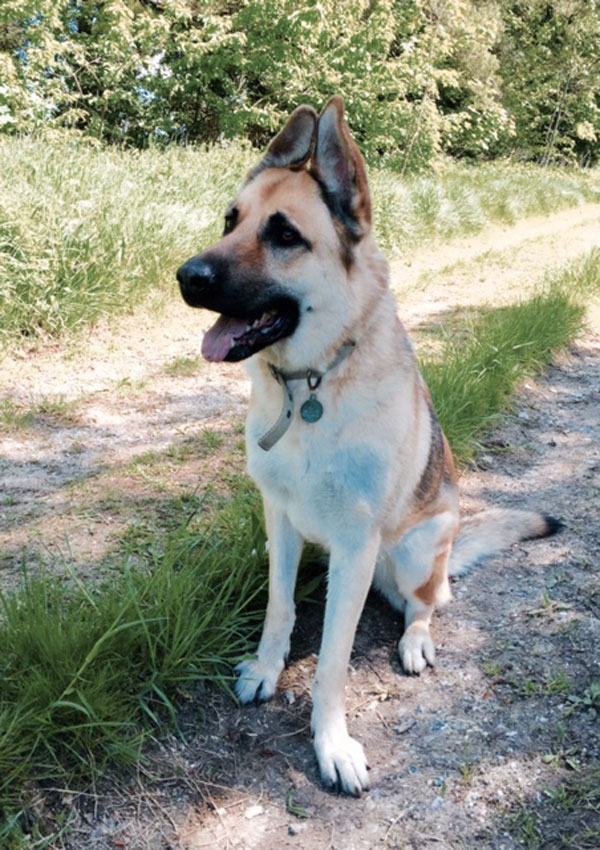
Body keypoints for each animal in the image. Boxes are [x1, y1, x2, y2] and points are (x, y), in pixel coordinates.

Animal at [176, 97, 560, 796]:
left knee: (427, 604)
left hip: (414, 552)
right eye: (230, 222)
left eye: (285, 235)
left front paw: (332, 744)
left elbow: (332, 662)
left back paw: (415, 641)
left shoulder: (354, 546)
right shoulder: (281, 521)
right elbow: (279, 609)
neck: (309, 386)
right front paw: (267, 670)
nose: (186, 276)